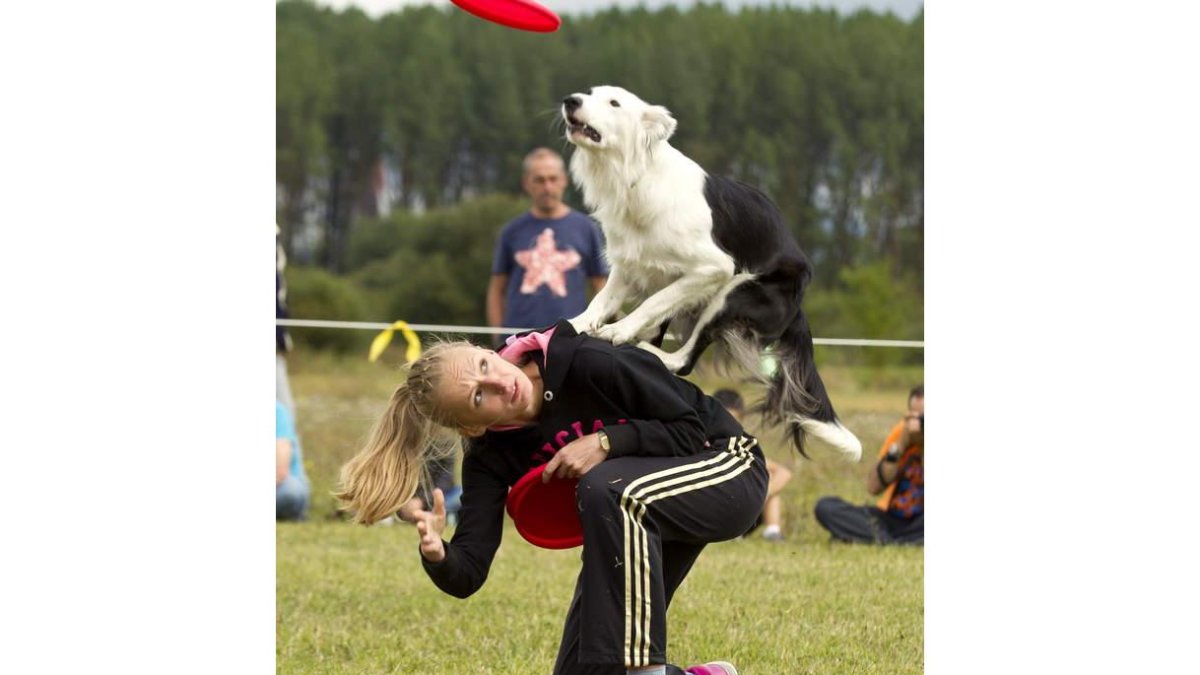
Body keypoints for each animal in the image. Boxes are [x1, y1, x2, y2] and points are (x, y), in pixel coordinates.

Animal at [561, 81, 864, 454]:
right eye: (588, 94)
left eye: (614, 103)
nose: (570, 101)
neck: (637, 177)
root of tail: (798, 305)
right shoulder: (628, 262)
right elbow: (601, 301)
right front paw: (576, 325)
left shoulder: (713, 268)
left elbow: (655, 301)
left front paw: (618, 331)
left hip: (736, 291)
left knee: (683, 360)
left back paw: (643, 347)